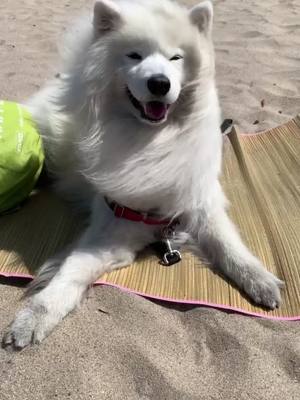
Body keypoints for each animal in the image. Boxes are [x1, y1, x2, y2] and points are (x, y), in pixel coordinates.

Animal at [2, 0, 284, 348]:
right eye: (134, 56)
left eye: (176, 58)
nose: (159, 83)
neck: (153, 143)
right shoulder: (110, 232)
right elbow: (70, 273)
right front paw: (32, 319)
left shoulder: (202, 203)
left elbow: (228, 244)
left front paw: (260, 281)